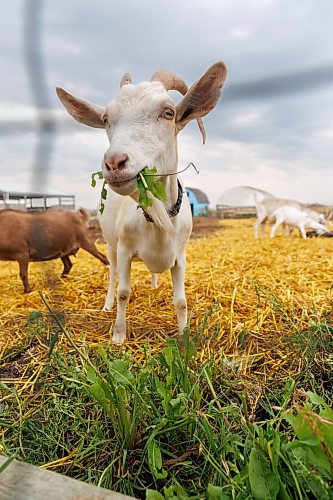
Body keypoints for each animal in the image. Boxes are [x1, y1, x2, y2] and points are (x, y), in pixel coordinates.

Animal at [57, 61, 228, 344]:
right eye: (106, 120)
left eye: (169, 112)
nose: (114, 162)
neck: (158, 220)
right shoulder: (125, 249)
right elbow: (123, 292)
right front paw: (118, 336)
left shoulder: (180, 256)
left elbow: (181, 301)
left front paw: (185, 336)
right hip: (110, 242)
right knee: (112, 273)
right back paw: (106, 305)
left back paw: (155, 284)